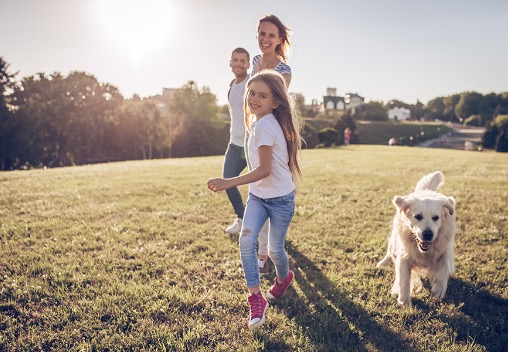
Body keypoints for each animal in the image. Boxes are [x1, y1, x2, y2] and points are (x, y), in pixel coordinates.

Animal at [378, 170, 456, 306]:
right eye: (418, 216)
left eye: (436, 218)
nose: (428, 234)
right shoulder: (404, 256)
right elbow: (404, 279)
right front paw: (404, 300)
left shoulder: (446, 250)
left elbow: (444, 266)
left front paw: (439, 288)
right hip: (394, 242)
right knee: (389, 253)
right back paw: (381, 264)